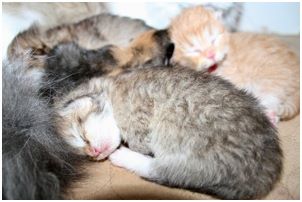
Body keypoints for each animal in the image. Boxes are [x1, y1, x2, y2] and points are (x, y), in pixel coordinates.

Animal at [54, 65, 284, 200]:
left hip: (192, 153)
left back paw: (123, 156)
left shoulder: (138, 107)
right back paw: (270, 115)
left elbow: (139, 138)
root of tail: (266, 175)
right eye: (82, 154)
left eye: (82, 133)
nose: (92, 153)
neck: (112, 88)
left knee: (158, 169)